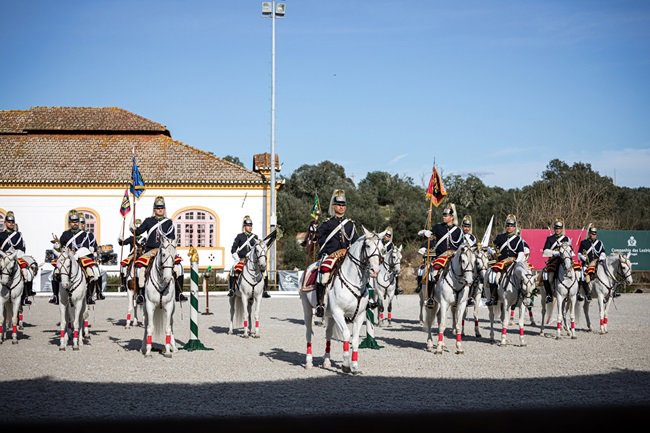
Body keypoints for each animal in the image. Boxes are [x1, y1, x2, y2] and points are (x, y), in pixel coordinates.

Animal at [300, 228, 384, 372]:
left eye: (382, 248)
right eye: (367, 246)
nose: (375, 270)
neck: (354, 282)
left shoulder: (360, 315)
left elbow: (354, 340)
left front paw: (354, 366)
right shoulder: (338, 312)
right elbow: (346, 334)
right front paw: (345, 364)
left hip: (330, 316)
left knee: (328, 334)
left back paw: (326, 361)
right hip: (307, 309)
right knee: (308, 333)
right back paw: (309, 362)